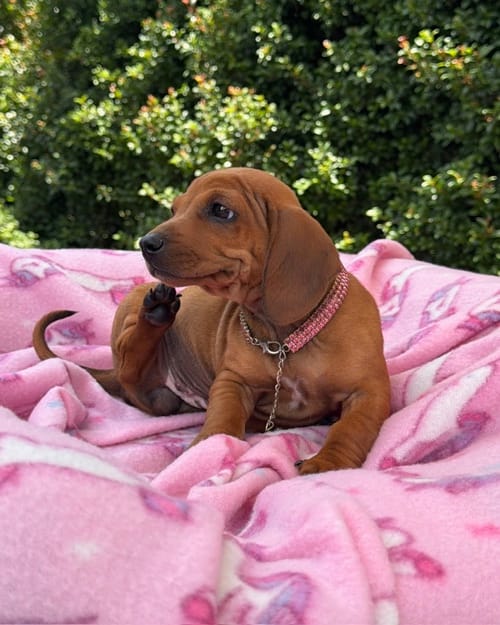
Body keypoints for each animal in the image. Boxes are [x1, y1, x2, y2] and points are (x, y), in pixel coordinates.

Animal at [33, 167, 391, 474]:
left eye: (220, 210)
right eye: (175, 209)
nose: (145, 244)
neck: (285, 339)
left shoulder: (370, 392)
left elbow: (350, 427)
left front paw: (329, 462)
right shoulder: (233, 381)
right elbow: (224, 413)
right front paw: (210, 446)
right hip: (137, 319)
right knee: (129, 360)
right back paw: (157, 312)